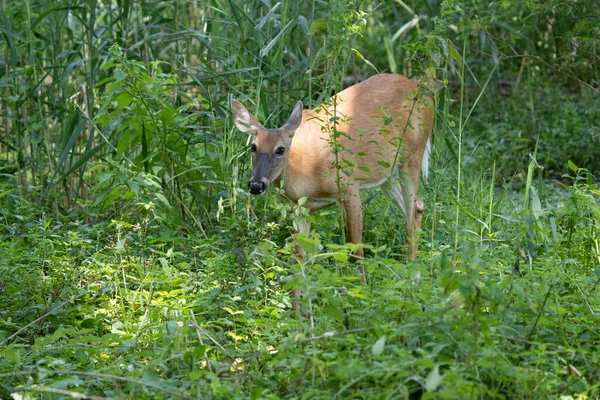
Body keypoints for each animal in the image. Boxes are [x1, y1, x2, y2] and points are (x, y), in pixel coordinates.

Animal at [232, 74, 434, 284]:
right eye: (253, 146)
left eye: (280, 149)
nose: (256, 185)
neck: (306, 172)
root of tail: (425, 94)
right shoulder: (299, 206)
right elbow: (299, 258)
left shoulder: (349, 187)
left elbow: (356, 249)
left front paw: (362, 287)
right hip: (388, 172)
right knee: (418, 206)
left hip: (412, 156)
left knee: (412, 212)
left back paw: (414, 279)